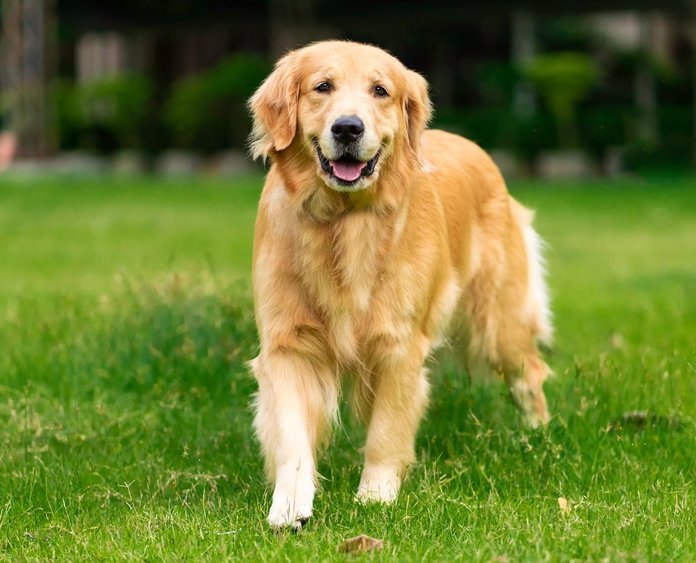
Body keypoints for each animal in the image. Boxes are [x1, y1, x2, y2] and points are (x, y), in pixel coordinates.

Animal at [247, 39, 552, 528]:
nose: (348, 128)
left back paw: (537, 436)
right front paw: (290, 504)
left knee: (530, 373)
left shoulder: (398, 345)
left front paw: (375, 495)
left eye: (380, 90)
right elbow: (292, 434)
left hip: (498, 322)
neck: (344, 221)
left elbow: (387, 429)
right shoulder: (288, 344)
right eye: (322, 86)